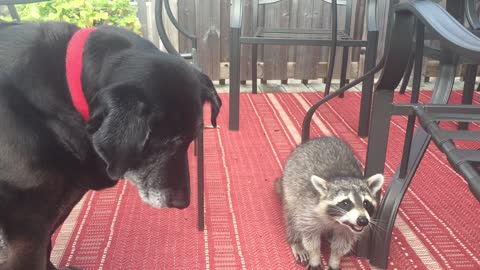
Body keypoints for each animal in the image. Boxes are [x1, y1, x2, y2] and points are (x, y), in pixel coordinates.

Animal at [276, 137, 384, 270]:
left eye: (366, 203)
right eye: (346, 203)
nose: (363, 220)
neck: (336, 220)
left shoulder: (348, 229)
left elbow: (341, 244)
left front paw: (335, 260)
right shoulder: (307, 209)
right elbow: (310, 238)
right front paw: (315, 257)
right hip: (290, 190)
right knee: (292, 219)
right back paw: (295, 241)